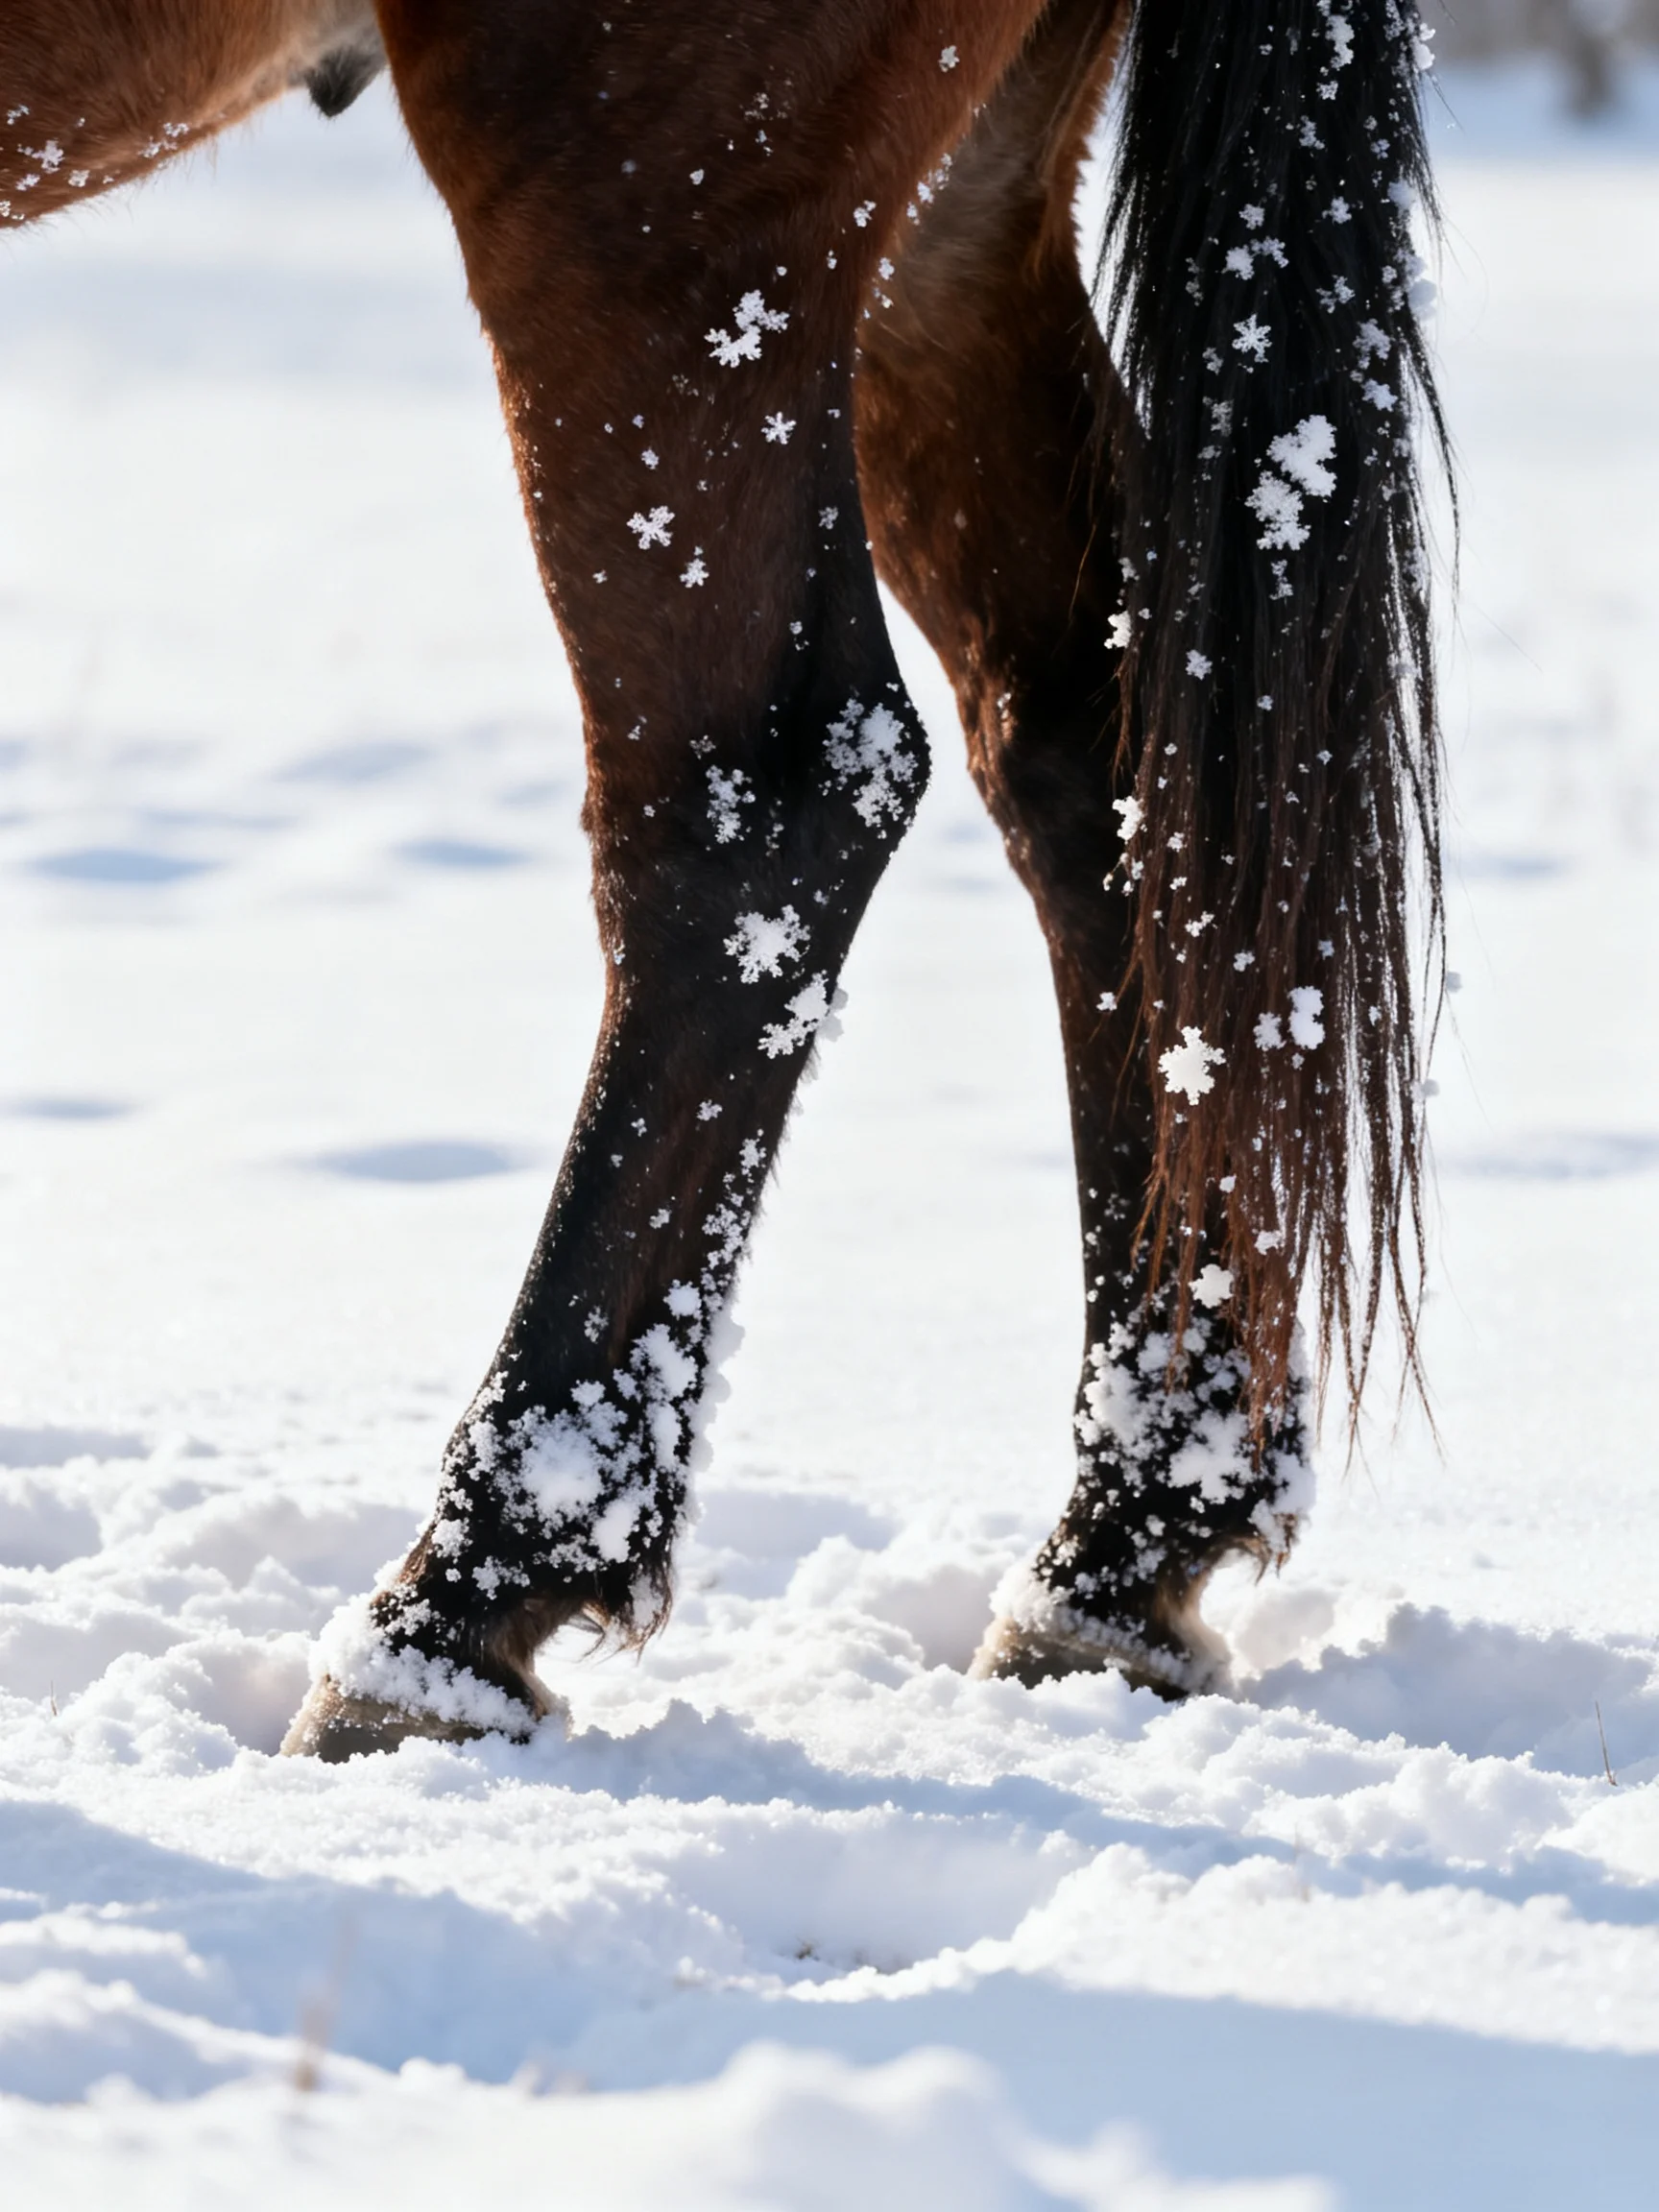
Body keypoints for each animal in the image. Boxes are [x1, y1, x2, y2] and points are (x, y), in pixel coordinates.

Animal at [1, 1, 1444, 1757]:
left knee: (763, 810)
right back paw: (1124, 1544)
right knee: (1115, 753)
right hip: (936, 248)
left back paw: (460, 1603)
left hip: (653, 205)